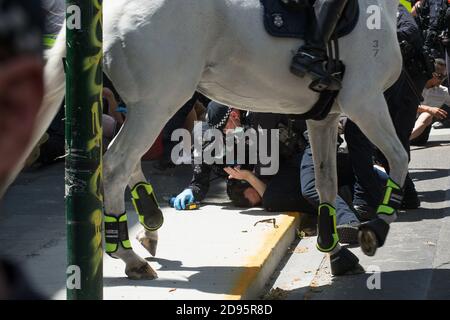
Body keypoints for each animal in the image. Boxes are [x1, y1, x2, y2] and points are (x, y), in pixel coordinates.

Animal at [7, 0, 408, 278]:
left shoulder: (325, 117)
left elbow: (325, 186)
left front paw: (336, 252)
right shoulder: (365, 100)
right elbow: (398, 157)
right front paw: (376, 228)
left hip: (149, 105)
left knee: (125, 161)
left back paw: (149, 220)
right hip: (159, 101)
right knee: (117, 165)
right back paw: (130, 256)